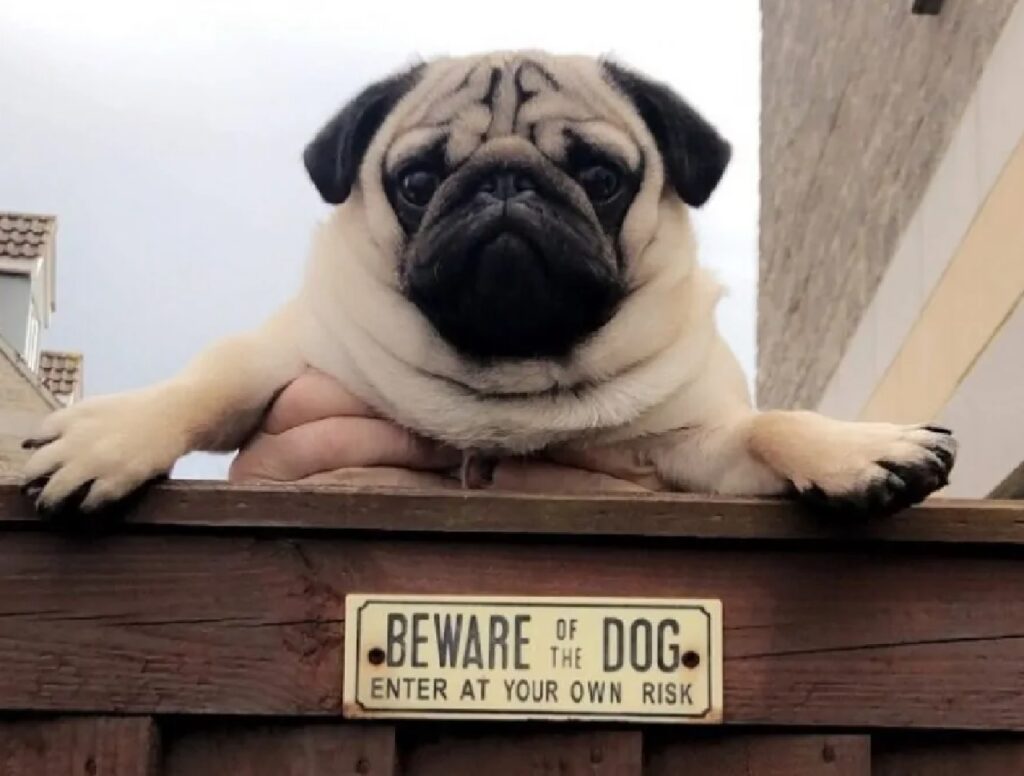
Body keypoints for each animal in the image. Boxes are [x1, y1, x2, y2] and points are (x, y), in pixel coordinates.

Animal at [19, 51, 954, 513]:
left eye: (601, 178)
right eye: (417, 182)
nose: (505, 183)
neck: (508, 376)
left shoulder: (686, 447)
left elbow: (763, 430)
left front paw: (852, 449)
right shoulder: (290, 353)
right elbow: (209, 383)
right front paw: (111, 436)